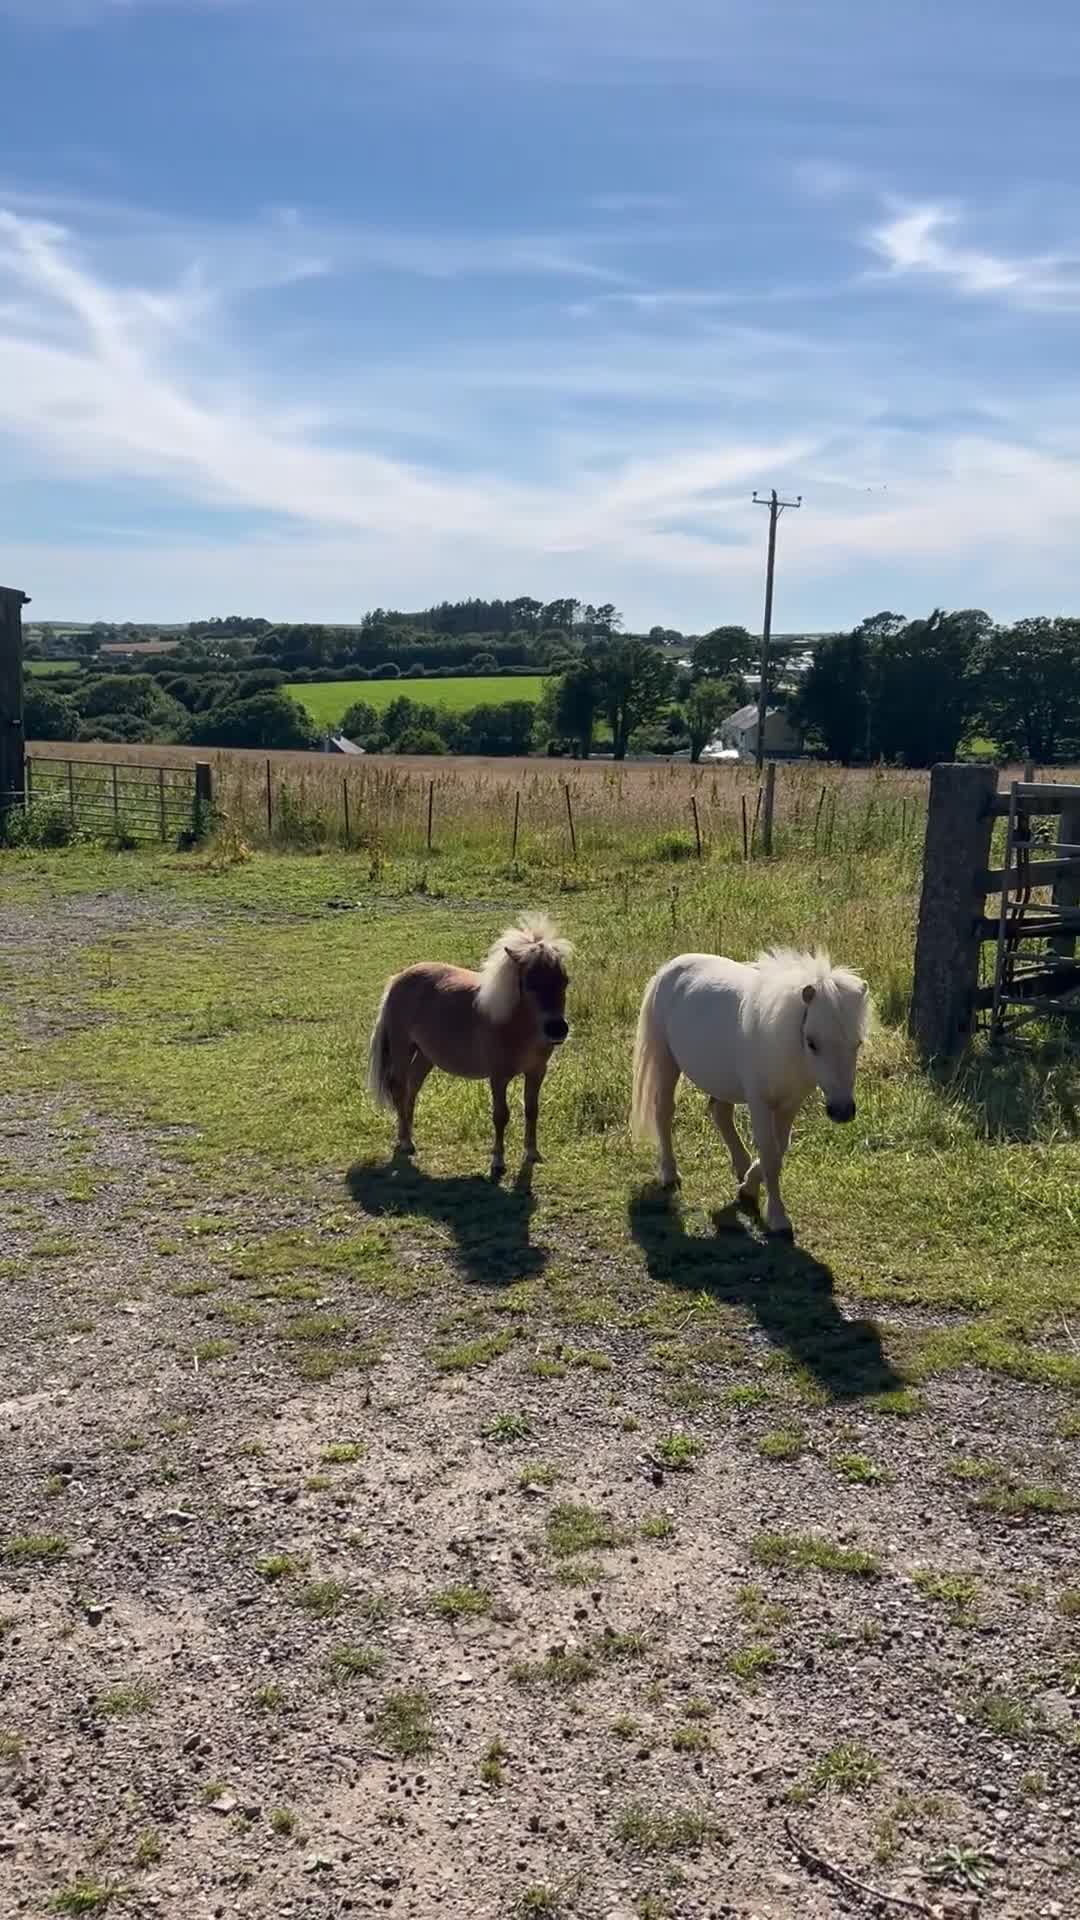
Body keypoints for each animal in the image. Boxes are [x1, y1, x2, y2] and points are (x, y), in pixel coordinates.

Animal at [367, 913, 572, 1179]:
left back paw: (409, 1139)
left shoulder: (536, 1071)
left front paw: (532, 1153)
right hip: (403, 1049)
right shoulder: (498, 1076)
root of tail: (397, 980)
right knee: (399, 1089)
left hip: (425, 1056)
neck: (514, 1024)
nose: (557, 1029)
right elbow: (501, 1115)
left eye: (565, 981)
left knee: (411, 1090)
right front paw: (497, 1162)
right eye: (529, 983)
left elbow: (531, 1109)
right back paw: (404, 1142)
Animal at [630, 946, 869, 1237]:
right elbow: (769, 1153)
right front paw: (777, 1218)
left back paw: (741, 1166)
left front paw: (749, 1187)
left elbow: (779, 1149)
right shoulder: (760, 1103)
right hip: (666, 1062)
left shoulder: (789, 1104)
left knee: (721, 1114)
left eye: (857, 1043)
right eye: (812, 1042)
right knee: (663, 1111)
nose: (842, 1111)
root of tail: (669, 967)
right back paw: (670, 1174)